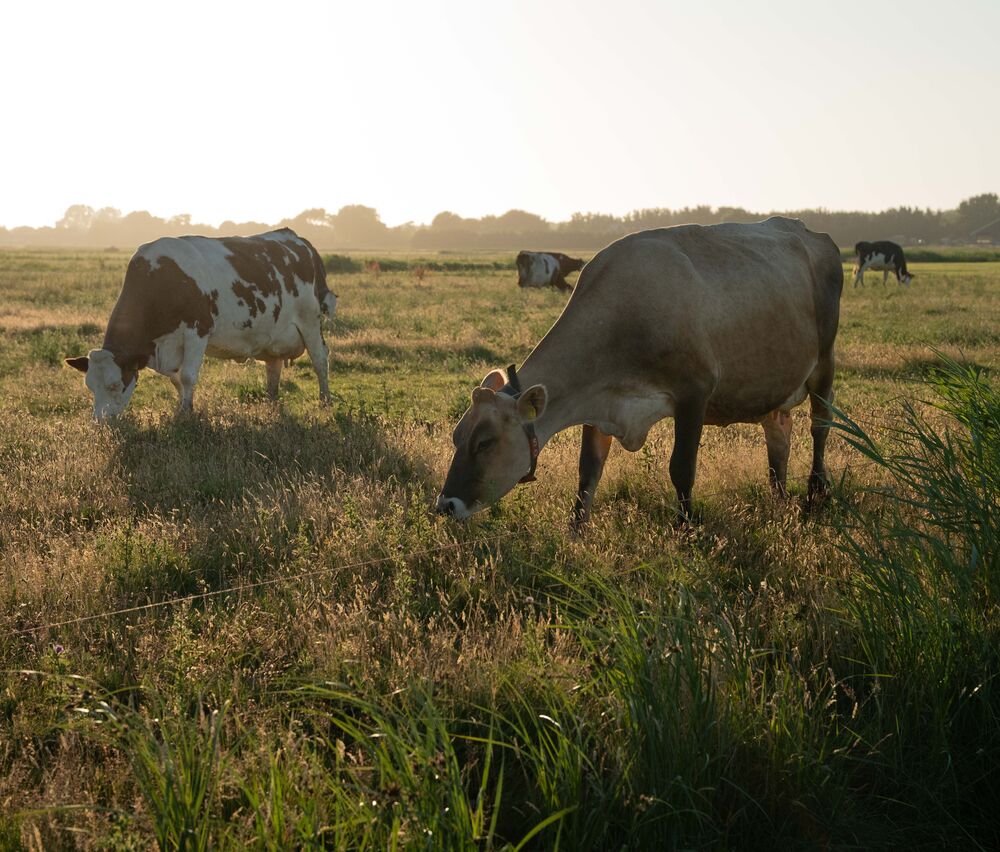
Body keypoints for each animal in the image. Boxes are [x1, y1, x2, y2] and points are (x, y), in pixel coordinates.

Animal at [66, 228, 337, 419]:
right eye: (90, 386)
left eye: (114, 385)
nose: (101, 421)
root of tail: (295, 238)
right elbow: (176, 381)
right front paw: (184, 408)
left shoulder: (198, 331)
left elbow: (187, 376)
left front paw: (187, 415)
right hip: (273, 334)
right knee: (273, 367)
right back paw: (271, 403)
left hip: (310, 320)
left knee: (320, 359)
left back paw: (325, 401)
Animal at [437, 217, 843, 525]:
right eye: (457, 437)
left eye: (485, 442)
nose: (445, 505)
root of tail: (808, 231)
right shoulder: (599, 405)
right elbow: (588, 472)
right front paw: (576, 532)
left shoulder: (695, 392)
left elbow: (682, 469)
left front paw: (686, 531)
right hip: (771, 382)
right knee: (779, 435)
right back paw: (779, 498)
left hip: (824, 362)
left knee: (820, 425)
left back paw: (815, 493)